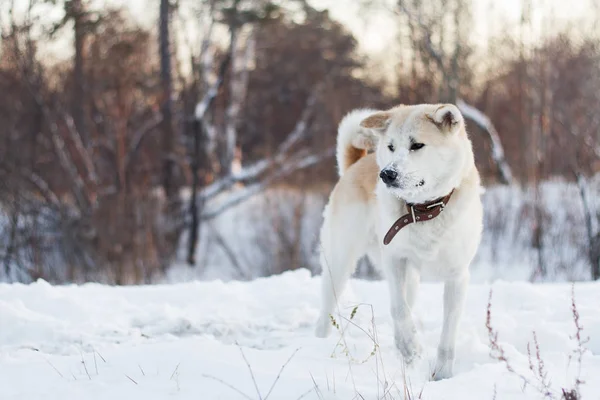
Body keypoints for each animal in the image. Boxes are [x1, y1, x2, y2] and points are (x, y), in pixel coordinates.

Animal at [314, 104, 482, 382]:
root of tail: (357, 163)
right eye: (391, 146)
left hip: (409, 279)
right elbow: (399, 310)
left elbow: (448, 330)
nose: (387, 174)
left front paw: (443, 374)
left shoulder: (457, 276)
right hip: (339, 262)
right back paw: (319, 342)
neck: (425, 210)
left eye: (417, 145)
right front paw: (410, 347)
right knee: (327, 306)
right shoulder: (394, 260)